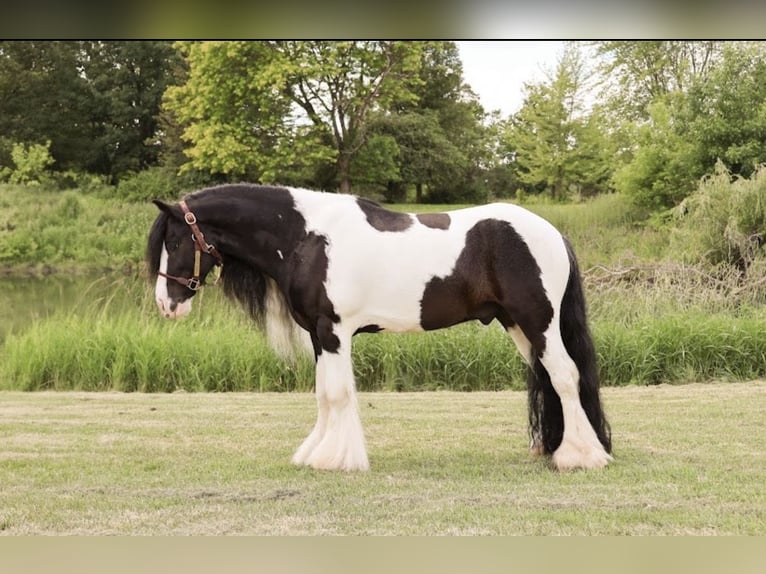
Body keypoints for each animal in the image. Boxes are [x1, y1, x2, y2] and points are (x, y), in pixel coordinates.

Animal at [146, 184, 612, 472]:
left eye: (174, 241)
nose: (166, 304)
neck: (307, 238)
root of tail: (552, 233)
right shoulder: (319, 335)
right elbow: (322, 394)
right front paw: (315, 452)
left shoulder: (334, 331)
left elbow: (337, 393)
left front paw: (335, 459)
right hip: (517, 324)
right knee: (548, 378)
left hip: (539, 321)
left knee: (565, 376)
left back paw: (581, 456)